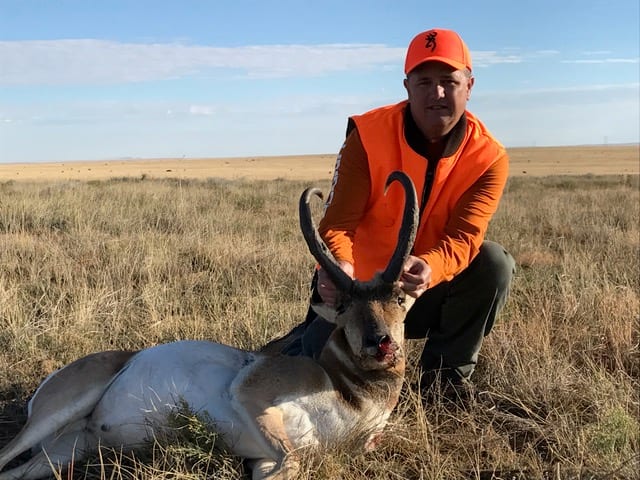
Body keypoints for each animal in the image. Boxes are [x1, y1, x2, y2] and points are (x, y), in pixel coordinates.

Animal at [0, 171, 419, 480]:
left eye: (399, 298)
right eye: (344, 305)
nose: (380, 343)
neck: (345, 392)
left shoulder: (264, 459)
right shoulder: (251, 394)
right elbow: (294, 461)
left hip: (65, 450)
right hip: (57, 414)